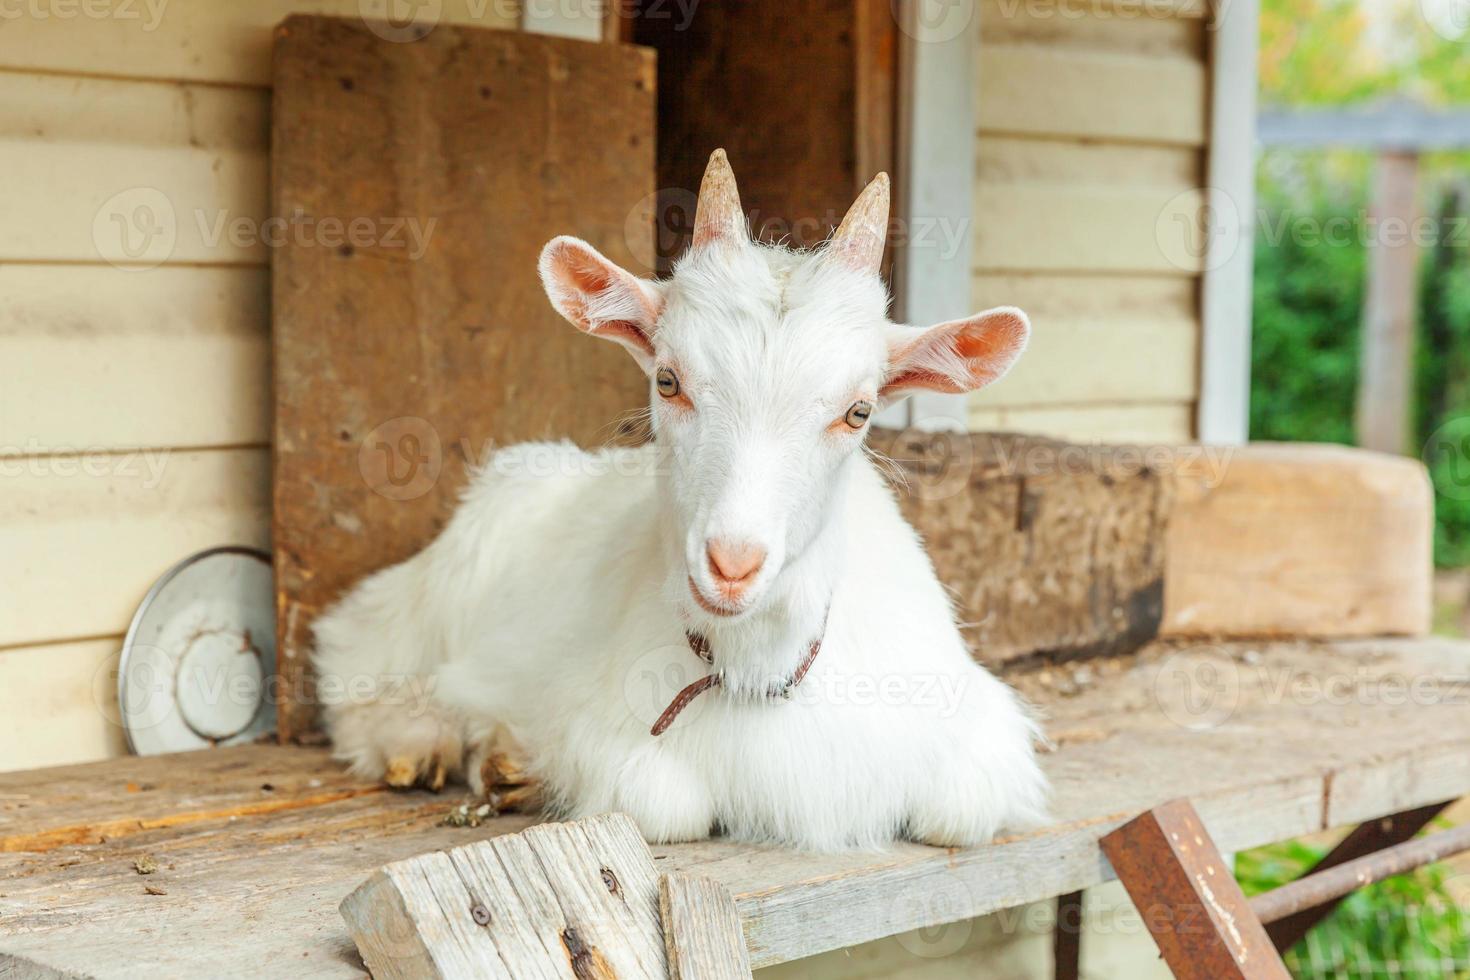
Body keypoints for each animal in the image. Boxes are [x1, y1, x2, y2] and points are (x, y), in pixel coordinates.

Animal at [313, 149, 1046, 846]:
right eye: (669, 381)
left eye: (858, 411)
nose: (732, 565)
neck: (754, 669)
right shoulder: (608, 738)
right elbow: (665, 805)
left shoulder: (976, 739)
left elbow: (959, 813)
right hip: (429, 600)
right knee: (356, 661)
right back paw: (423, 742)